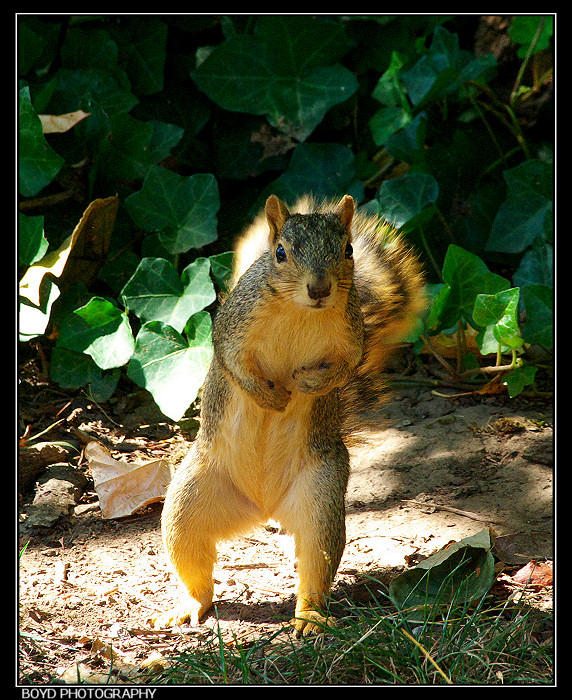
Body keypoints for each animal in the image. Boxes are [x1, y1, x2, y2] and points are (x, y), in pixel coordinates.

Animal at [155, 193, 424, 636]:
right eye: (280, 253)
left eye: (348, 251)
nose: (319, 288)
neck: (300, 310)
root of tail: (262, 507)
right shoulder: (232, 326)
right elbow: (232, 361)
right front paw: (269, 395)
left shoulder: (351, 340)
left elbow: (345, 368)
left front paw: (307, 383)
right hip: (187, 505)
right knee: (196, 571)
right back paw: (189, 606)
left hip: (321, 500)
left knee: (315, 563)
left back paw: (310, 617)